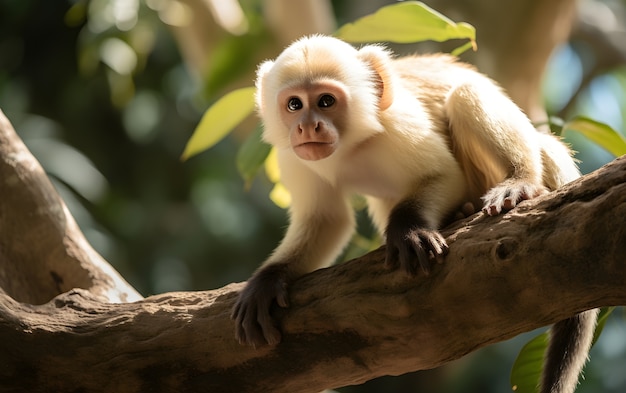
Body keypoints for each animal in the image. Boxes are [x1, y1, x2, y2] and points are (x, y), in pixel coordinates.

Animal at [229, 36, 596, 392]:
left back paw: (519, 182)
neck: (351, 146)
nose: (308, 128)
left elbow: (443, 174)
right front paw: (269, 280)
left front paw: (409, 231)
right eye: (294, 105)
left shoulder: (398, 122)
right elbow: (328, 219)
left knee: (467, 94)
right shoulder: (292, 154)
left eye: (325, 101)